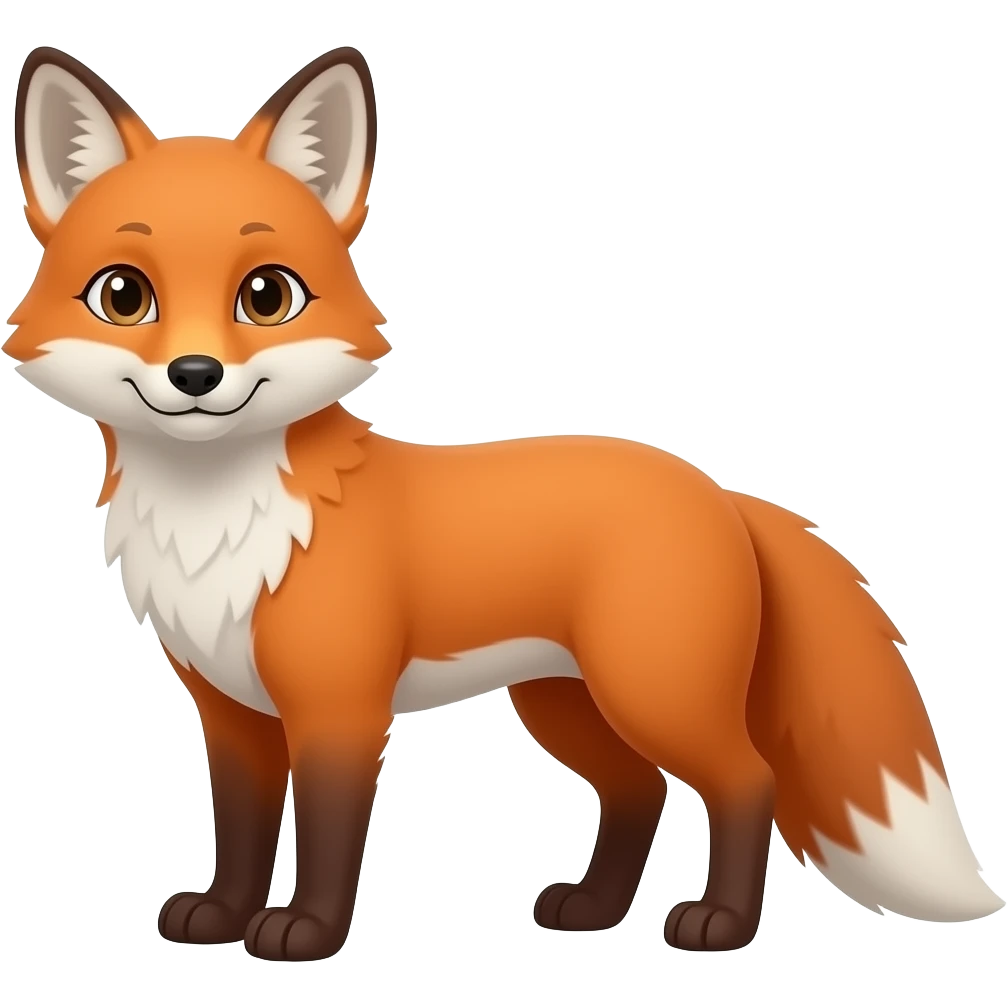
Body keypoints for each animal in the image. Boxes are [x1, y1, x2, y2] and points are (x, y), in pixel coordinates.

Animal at [6, 43, 1002, 962]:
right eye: (124, 295)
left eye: (266, 295)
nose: (196, 374)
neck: (219, 525)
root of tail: (719, 490)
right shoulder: (232, 711)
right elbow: (244, 827)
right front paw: (220, 917)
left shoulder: (340, 708)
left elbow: (326, 834)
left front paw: (306, 932)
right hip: (565, 703)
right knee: (638, 792)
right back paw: (593, 911)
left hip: (653, 692)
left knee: (744, 781)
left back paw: (719, 924)